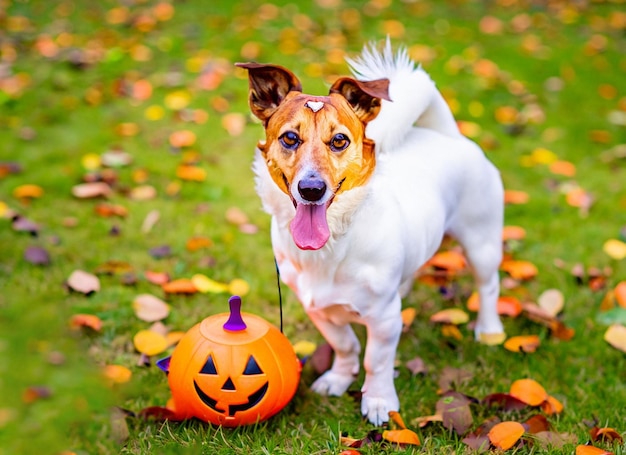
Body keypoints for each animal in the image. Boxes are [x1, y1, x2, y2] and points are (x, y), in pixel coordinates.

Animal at [236, 41, 504, 426]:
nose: (312, 189)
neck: (334, 241)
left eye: (339, 140)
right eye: (289, 137)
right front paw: (338, 377)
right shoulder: (319, 309)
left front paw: (378, 400)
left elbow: (376, 361)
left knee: (488, 285)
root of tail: (448, 135)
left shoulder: (385, 318)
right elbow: (345, 344)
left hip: (482, 243)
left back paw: (489, 328)